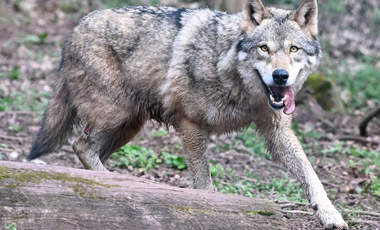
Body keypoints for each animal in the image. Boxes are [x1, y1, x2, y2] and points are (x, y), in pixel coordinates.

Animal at [29, 0, 350, 229]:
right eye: (264, 48)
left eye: (293, 49)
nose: (280, 76)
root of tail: (76, 28)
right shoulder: (191, 125)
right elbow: (204, 183)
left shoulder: (277, 132)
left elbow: (311, 174)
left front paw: (331, 215)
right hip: (117, 116)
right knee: (80, 145)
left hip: (128, 126)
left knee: (88, 151)